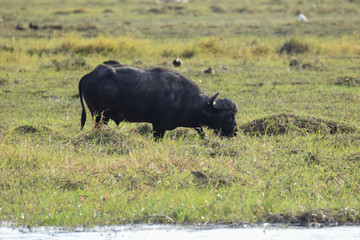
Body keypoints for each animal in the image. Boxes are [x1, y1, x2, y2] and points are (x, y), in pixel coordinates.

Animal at [78, 61, 239, 139]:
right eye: (227, 116)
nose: (235, 132)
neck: (183, 97)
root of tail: (90, 74)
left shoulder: (194, 123)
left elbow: (202, 133)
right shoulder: (158, 126)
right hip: (100, 116)